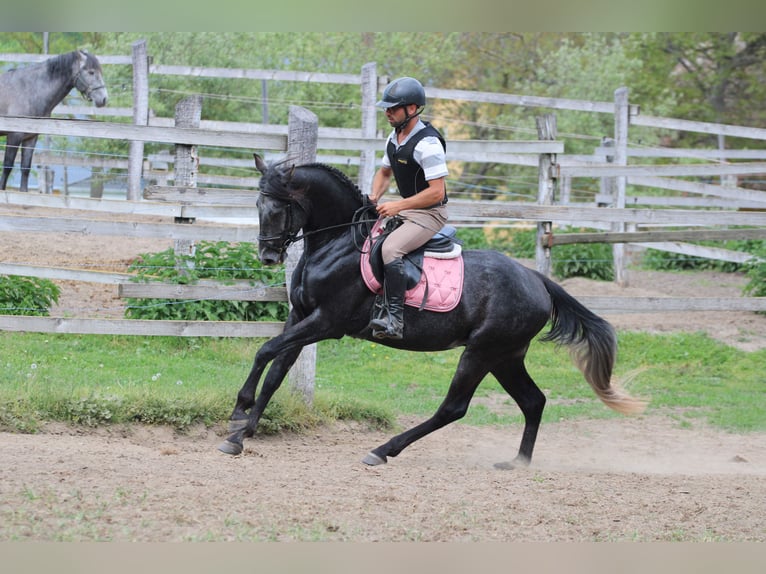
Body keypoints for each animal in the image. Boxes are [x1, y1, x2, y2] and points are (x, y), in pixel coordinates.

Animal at [0, 50, 108, 192]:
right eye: (91, 72)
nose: (104, 99)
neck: (30, 90)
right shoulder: (14, 136)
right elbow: (7, 167)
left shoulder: (30, 138)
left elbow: (25, 168)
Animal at [217, 155, 646, 468]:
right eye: (258, 205)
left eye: (278, 208)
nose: (268, 256)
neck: (335, 242)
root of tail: (537, 280)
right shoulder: (301, 317)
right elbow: (276, 371)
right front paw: (241, 434)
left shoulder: (326, 322)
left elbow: (265, 351)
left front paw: (239, 411)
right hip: (506, 355)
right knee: (533, 401)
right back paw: (518, 463)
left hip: (482, 351)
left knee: (454, 407)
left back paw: (383, 450)